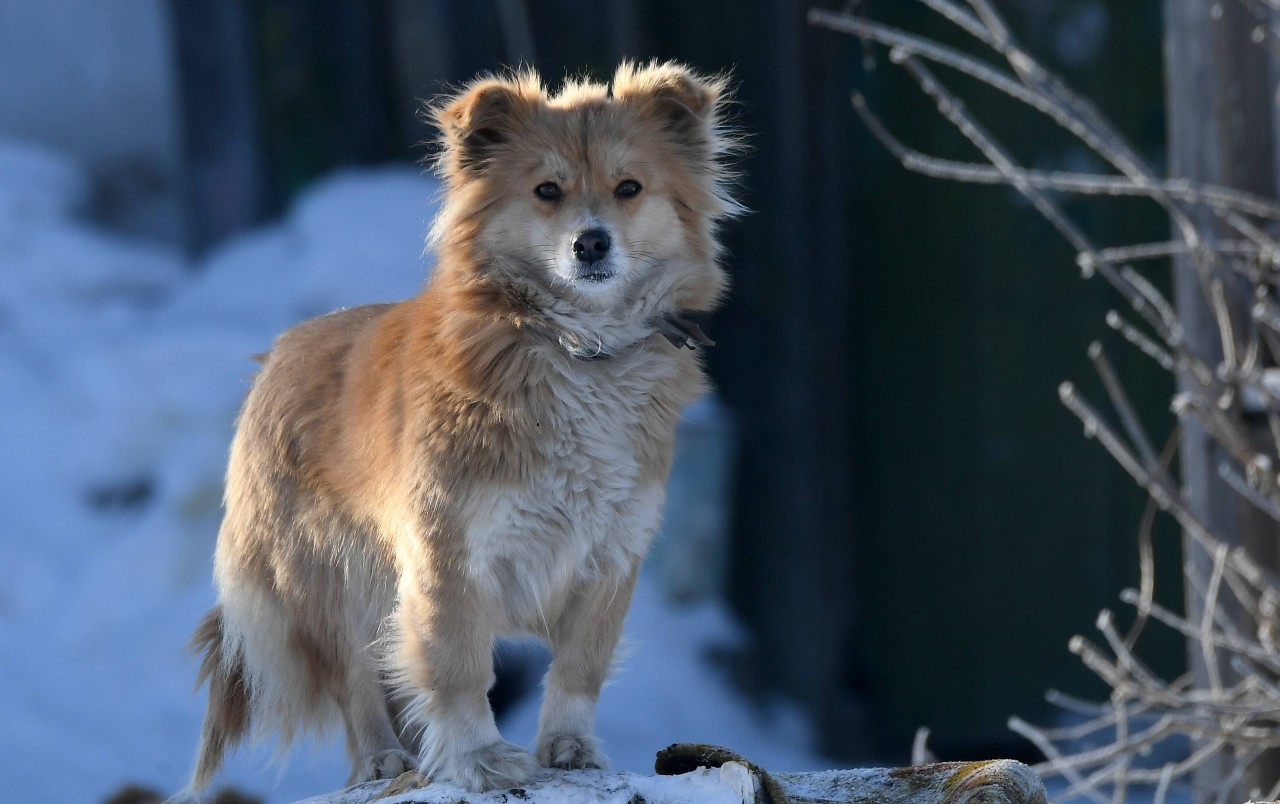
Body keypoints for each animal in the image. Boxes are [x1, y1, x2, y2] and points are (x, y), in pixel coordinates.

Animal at [180, 61, 742, 793]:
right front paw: (479, 759)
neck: (573, 350)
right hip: (330, 582)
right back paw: (381, 759)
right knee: (356, 681)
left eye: (629, 188)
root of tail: (272, 360)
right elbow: (458, 669)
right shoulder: (449, 556)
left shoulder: (611, 555)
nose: (591, 241)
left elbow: (578, 669)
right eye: (547, 191)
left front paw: (569, 747)